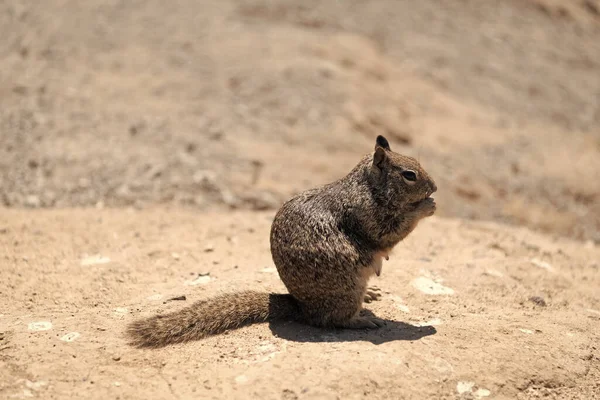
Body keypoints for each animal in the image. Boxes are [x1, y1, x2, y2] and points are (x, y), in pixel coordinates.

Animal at [126, 135, 436, 346]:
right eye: (409, 175)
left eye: (419, 164)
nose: (434, 187)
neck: (369, 187)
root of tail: (301, 306)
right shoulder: (368, 217)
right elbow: (390, 233)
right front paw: (425, 207)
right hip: (347, 290)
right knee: (331, 320)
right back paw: (363, 319)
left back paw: (369, 296)